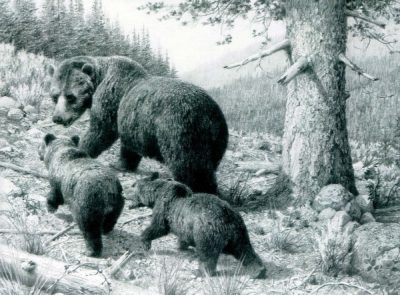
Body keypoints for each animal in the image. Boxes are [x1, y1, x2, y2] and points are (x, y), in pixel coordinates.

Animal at [47, 57, 228, 197]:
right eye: (55, 96)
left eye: (70, 96)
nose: (57, 118)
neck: (100, 77)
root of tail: (212, 114)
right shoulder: (131, 122)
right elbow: (129, 147)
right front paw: (121, 164)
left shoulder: (111, 98)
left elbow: (101, 130)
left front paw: (81, 148)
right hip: (217, 141)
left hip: (180, 129)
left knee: (189, 164)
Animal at [131, 173, 268, 280]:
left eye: (133, 185)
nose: (127, 196)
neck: (157, 193)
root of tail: (228, 218)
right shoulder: (185, 225)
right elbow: (182, 237)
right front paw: (182, 246)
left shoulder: (165, 209)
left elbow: (158, 227)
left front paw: (144, 241)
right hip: (239, 232)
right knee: (245, 250)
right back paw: (259, 271)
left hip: (206, 231)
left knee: (207, 255)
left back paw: (200, 271)